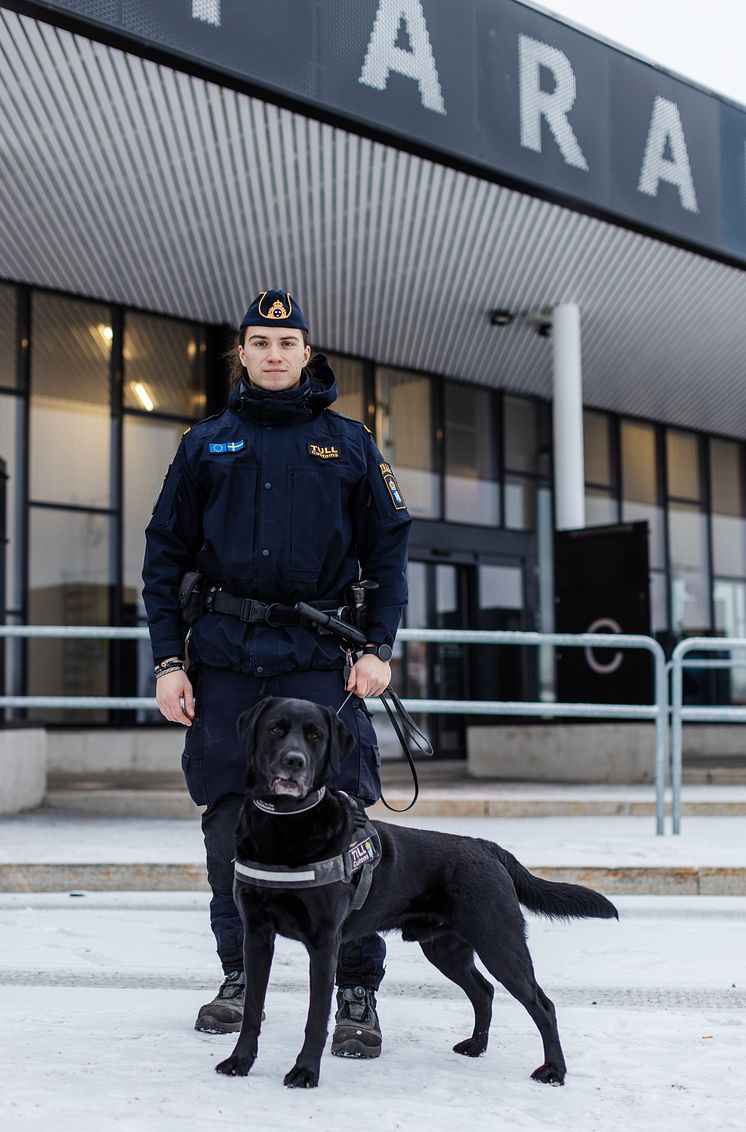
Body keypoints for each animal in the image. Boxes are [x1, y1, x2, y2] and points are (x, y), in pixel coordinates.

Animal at [216, 697, 620, 1086]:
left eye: (316, 736)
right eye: (275, 729)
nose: (294, 761)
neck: (285, 824)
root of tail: (487, 846)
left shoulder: (324, 943)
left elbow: (315, 1018)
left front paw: (304, 1073)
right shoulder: (256, 935)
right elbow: (251, 1010)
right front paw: (239, 1062)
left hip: (499, 943)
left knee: (542, 1005)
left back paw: (554, 1071)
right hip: (445, 948)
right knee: (484, 991)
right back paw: (476, 1046)